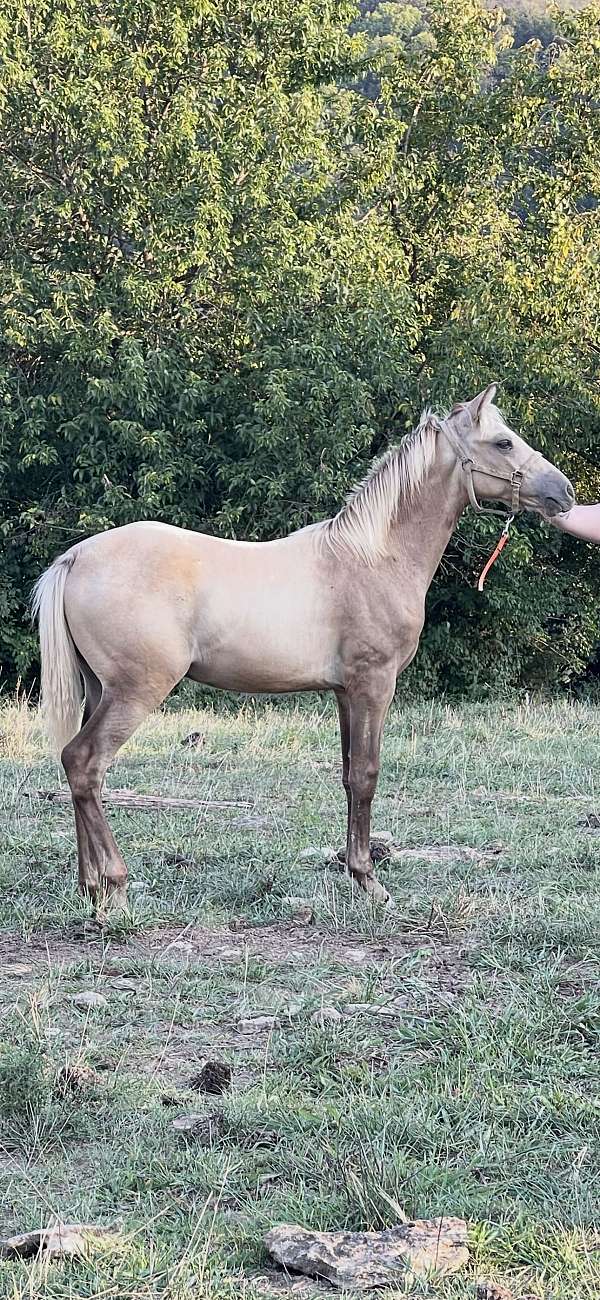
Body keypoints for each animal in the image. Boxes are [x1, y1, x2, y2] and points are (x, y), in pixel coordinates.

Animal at [33, 379, 576, 909]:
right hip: (137, 690)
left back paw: (90, 885)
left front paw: (355, 872)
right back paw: (115, 884)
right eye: (503, 442)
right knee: (86, 763)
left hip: (99, 690)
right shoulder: (373, 685)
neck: (374, 556)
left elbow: (349, 775)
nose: (564, 493)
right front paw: (369, 882)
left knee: (78, 768)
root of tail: (76, 557)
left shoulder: (344, 693)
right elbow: (368, 775)